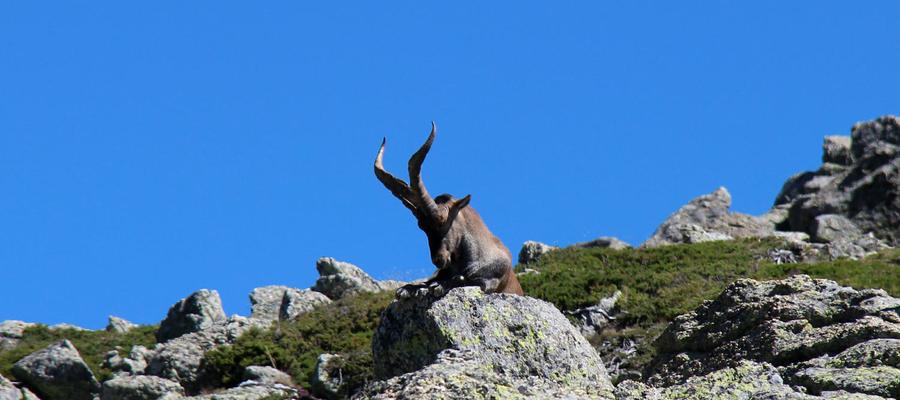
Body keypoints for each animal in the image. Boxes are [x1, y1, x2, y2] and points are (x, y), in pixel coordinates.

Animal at [374, 122, 523, 298]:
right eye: (422, 227)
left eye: (443, 221)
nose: (438, 260)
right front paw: (407, 289)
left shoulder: (489, 281)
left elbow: (461, 280)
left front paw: (437, 287)